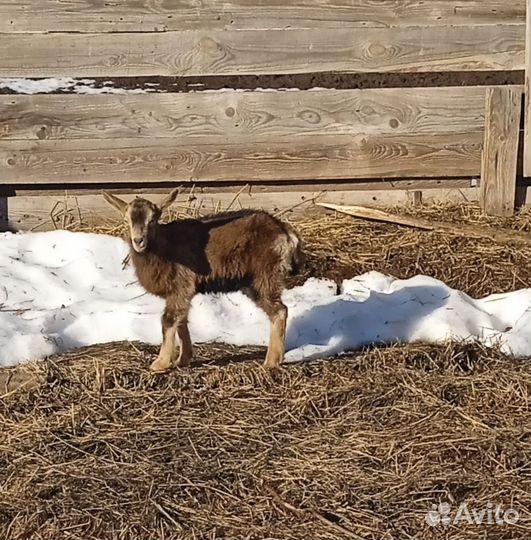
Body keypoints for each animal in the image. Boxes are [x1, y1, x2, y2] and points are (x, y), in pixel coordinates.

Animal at [103, 192, 304, 374]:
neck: (164, 248)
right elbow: (181, 320)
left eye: (152, 220)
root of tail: (285, 232)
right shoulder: (181, 292)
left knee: (279, 311)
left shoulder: (181, 284)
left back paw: (271, 362)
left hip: (264, 275)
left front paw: (160, 364)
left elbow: (168, 319)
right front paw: (182, 359)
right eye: (127, 219)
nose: (138, 241)